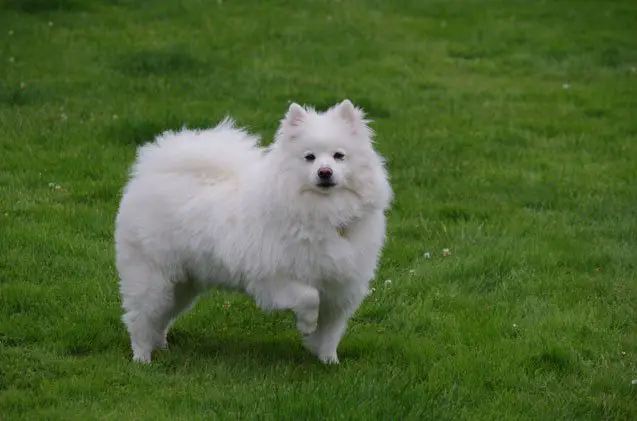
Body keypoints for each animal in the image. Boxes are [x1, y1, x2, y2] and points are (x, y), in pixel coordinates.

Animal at [115, 100, 392, 362]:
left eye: (339, 156)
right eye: (310, 157)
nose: (325, 172)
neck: (324, 212)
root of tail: (148, 175)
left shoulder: (340, 287)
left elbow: (331, 331)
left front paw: (328, 360)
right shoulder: (274, 277)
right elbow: (309, 297)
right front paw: (306, 325)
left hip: (182, 283)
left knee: (161, 318)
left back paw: (160, 345)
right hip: (152, 277)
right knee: (140, 318)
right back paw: (142, 357)